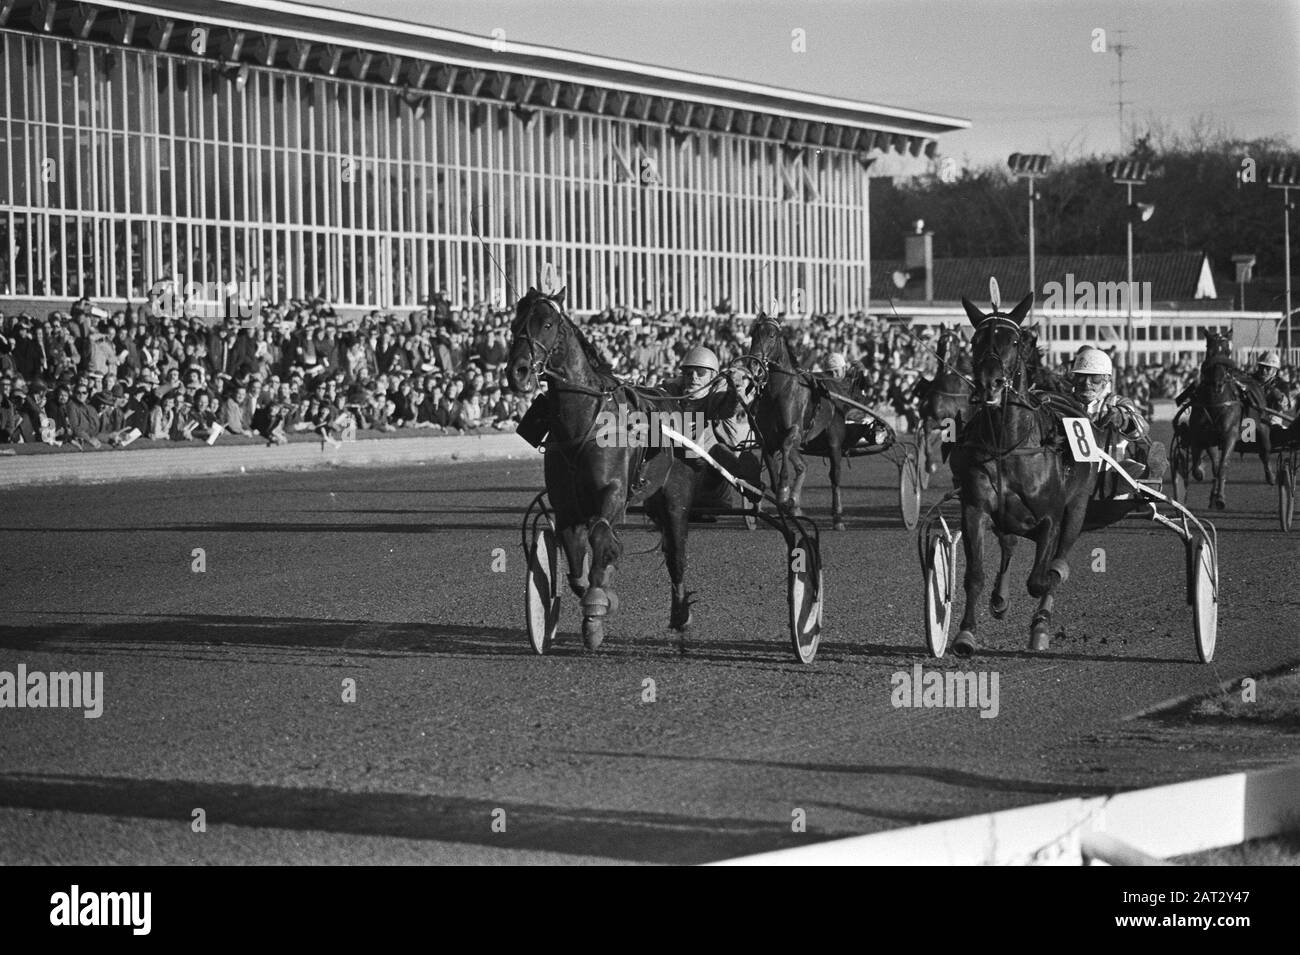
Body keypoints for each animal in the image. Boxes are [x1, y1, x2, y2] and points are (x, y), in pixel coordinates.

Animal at [506, 287, 717, 647]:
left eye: (547, 323)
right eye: (513, 324)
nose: (517, 371)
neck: (584, 422)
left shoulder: (614, 492)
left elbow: (603, 538)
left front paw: (596, 615)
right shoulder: (568, 506)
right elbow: (576, 564)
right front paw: (598, 599)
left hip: (676, 499)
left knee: (676, 557)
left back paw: (680, 615)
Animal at [956, 294, 1097, 657]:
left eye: (1015, 341)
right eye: (975, 341)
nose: (989, 383)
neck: (1008, 444)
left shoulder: (1050, 518)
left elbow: (1040, 579)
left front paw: (1044, 609)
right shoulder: (974, 509)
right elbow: (975, 574)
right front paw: (966, 634)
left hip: (1078, 508)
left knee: (1058, 555)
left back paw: (1041, 622)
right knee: (1008, 543)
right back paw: (1000, 598)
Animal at [1175, 330, 1242, 511]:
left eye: (1227, 351)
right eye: (1209, 351)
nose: (1217, 384)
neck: (1215, 403)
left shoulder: (1230, 435)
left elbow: (1222, 466)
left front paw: (1220, 498)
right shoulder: (1202, 436)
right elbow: (1198, 466)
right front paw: (1201, 470)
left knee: (1218, 466)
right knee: (1213, 464)